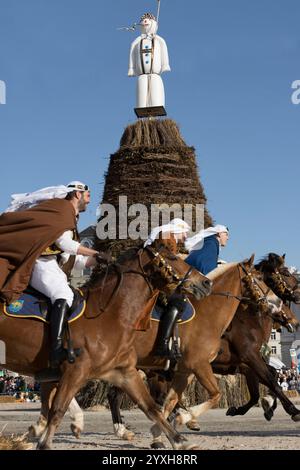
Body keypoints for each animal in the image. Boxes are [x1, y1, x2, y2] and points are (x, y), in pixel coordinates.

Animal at [0, 241, 211, 450]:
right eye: (173, 257)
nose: (206, 282)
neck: (109, 315)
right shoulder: (74, 372)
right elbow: (58, 409)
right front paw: (45, 441)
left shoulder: (125, 372)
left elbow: (151, 408)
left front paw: (180, 441)